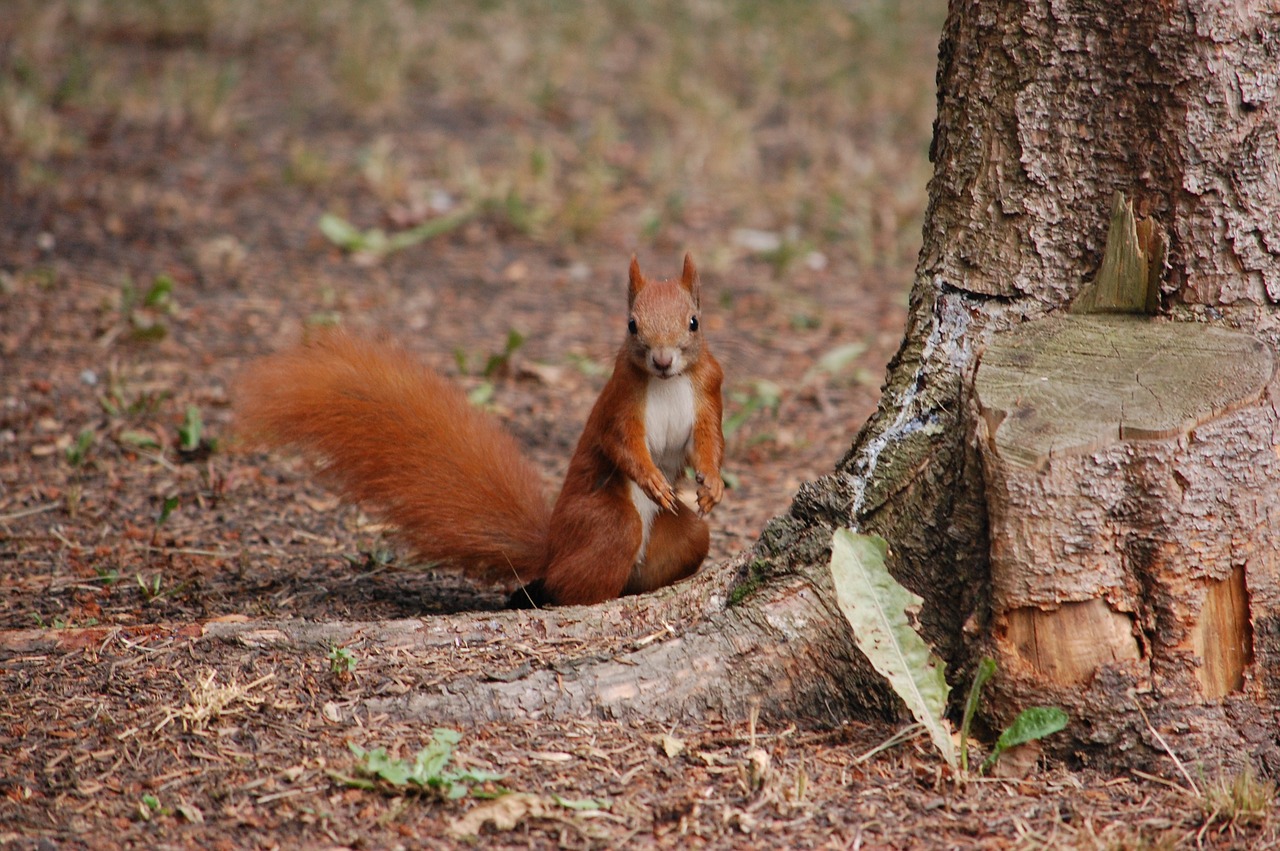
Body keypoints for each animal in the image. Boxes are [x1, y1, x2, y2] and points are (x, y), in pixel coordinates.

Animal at [235, 252, 727, 604]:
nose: (662, 360)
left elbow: (706, 444)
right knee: (568, 584)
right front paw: (653, 479)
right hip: (607, 523)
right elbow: (622, 446)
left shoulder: (707, 395)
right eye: (631, 325)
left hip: (678, 537)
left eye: (694, 322)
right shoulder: (619, 404)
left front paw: (712, 485)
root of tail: (553, 548)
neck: (667, 383)